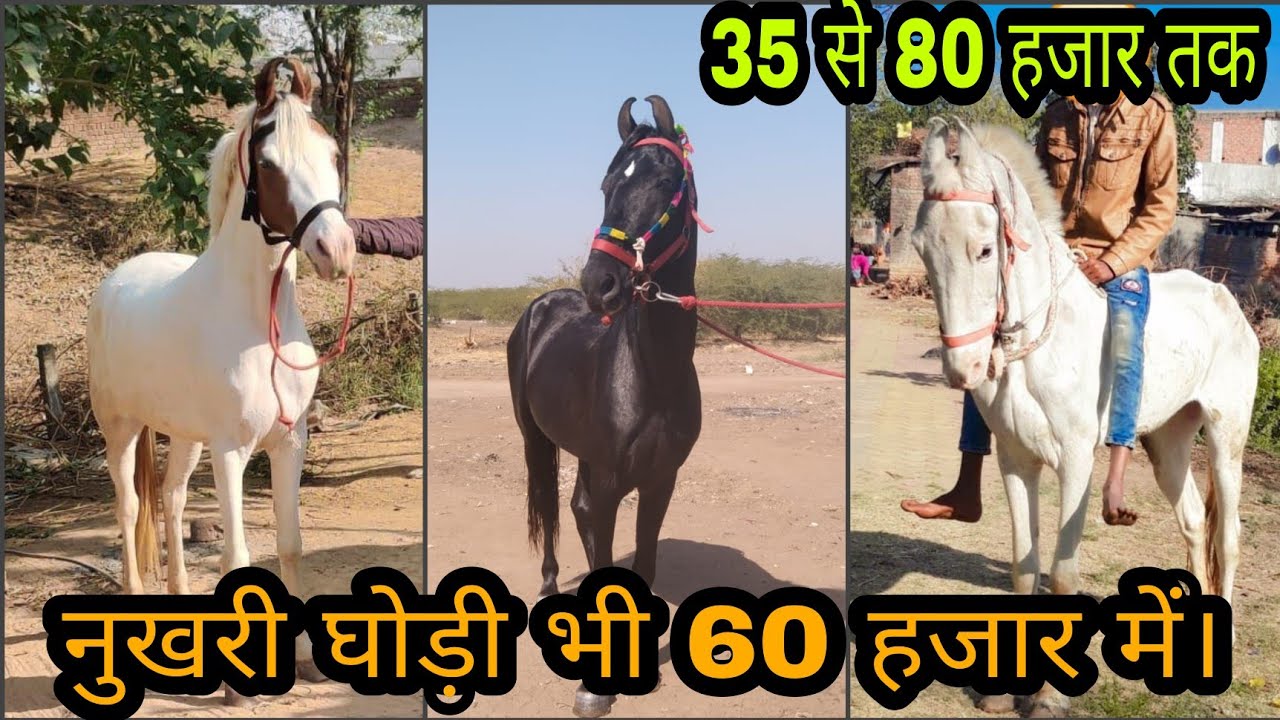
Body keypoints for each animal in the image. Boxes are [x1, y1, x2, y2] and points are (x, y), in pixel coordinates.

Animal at [86, 57, 356, 699]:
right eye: (269, 163)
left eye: (332, 152)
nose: (337, 250)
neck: (260, 322)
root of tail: (115, 280)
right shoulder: (232, 450)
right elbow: (237, 554)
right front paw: (239, 688)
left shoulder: (288, 443)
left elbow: (289, 545)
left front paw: (303, 663)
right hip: (120, 430)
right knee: (129, 508)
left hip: (184, 438)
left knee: (173, 499)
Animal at [506, 95, 710, 717]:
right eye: (606, 184)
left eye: (665, 181)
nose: (601, 283)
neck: (649, 373)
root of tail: (543, 305)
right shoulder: (612, 481)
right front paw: (596, 684)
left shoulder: (660, 480)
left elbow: (642, 560)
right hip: (536, 440)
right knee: (552, 508)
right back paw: (549, 588)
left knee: (573, 508)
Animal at [911, 118, 1257, 716]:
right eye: (922, 250)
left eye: (985, 249)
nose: (964, 368)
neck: (1042, 344)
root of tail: (1228, 302)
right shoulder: (1016, 462)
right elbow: (1025, 567)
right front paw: (1004, 691)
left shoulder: (1075, 463)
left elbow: (1064, 573)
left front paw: (1049, 698)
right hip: (1168, 442)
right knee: (1193, 520)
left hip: (1225, 438)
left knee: (1227, 534)